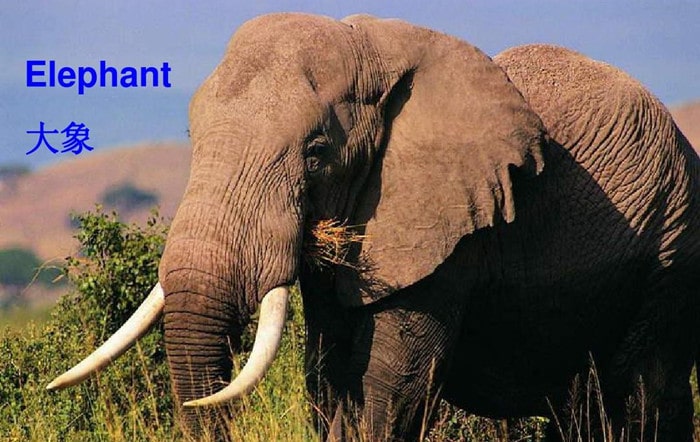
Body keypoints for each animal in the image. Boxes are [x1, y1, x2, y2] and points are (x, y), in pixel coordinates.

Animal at [47, 13, 700, 442]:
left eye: (316, 154)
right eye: (192, 137)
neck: (374, 46)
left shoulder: (450, 232)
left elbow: (392, 384)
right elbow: (328, 377)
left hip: (673, 249)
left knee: (642, 395)